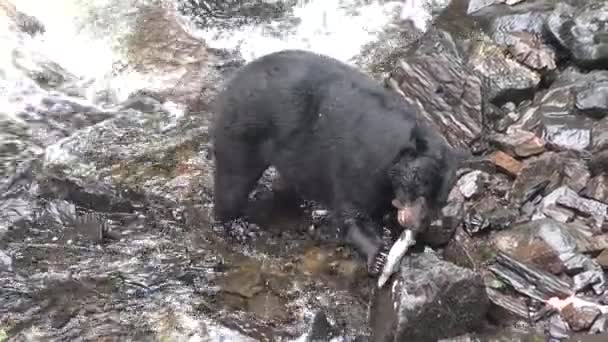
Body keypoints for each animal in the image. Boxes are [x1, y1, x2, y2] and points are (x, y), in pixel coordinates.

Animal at [209, 49, 466, 274]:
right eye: (421, 185)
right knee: (232, 183)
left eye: (439, 200)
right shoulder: (360, 164)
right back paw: (232, 224)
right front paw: (379, 255)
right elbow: (352, 211)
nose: (417, 224)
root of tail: (233, 80)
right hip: (244, 131)